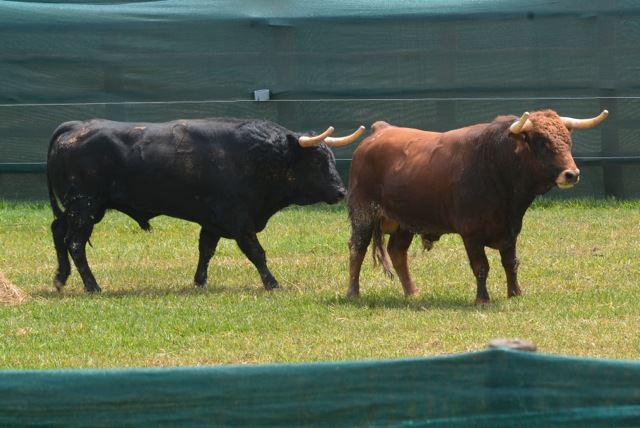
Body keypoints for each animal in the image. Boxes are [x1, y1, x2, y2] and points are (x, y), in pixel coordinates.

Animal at [47, 117, 364, 293]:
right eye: (317, 161)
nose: (340, 192)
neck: (257, 155)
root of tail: (76, 127)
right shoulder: (238, 219)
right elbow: (256, 252)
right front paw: (272, 283)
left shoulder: (213, 221)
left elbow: (206, 250)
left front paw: (200, 281)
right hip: (86, 207)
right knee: (75, 242)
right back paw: (92, 286)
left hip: (80, 209)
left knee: (57, 231)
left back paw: (61, 278)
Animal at [346, 109, 608, 303]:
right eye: (542, 143)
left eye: (568, 141)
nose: (572, 174)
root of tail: (380, 131)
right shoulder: (471, 233)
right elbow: (481, 266)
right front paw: (482, 299)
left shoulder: (510, 231)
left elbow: (511, 263)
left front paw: (515, 293)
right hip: (363, 214)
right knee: (357, 250)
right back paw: (353, 293)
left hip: (404, 222)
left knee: (397, 252)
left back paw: (412, 293)